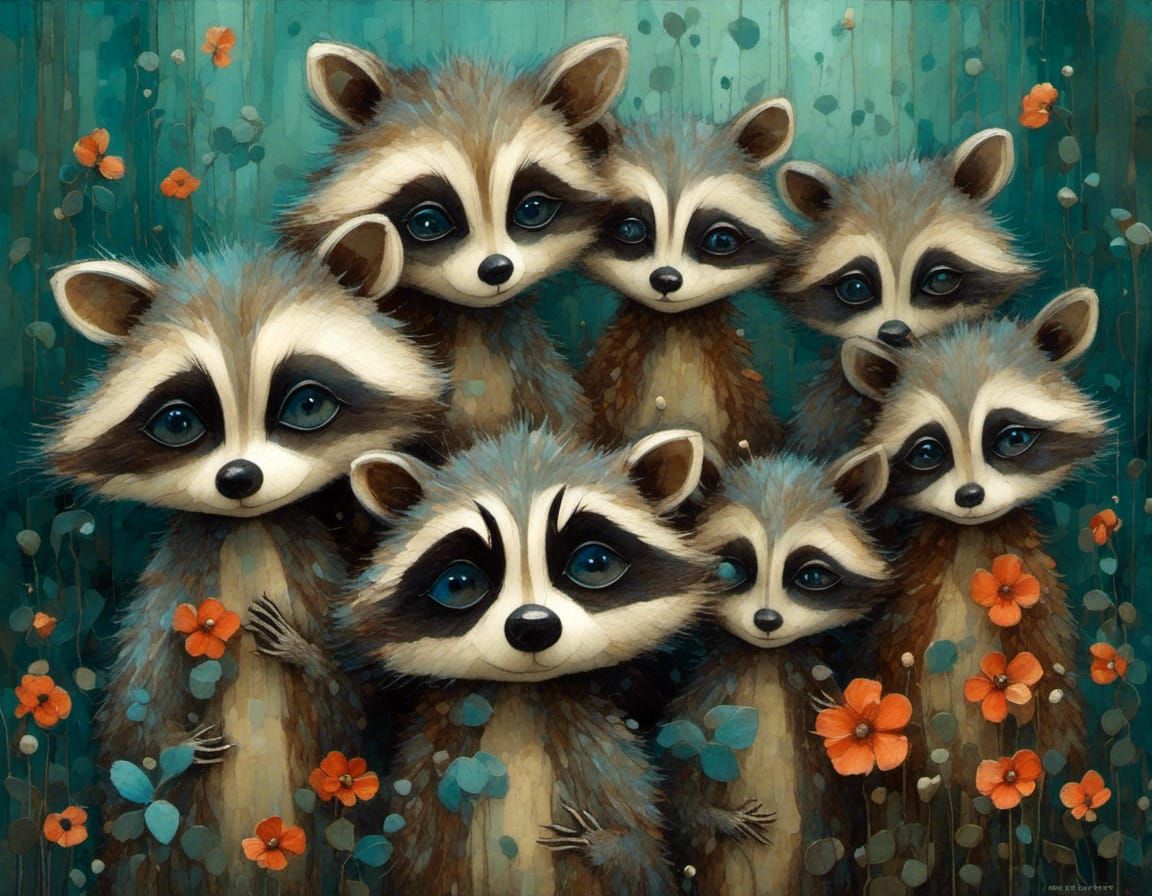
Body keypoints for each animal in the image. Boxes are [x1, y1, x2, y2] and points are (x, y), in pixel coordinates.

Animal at [46, 217, 444, 894]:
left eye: (307, 405)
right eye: (178, 421)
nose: (239, 477)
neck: (249, 529)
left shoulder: (321, 580)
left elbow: (353, 696)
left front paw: (302, 652)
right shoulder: (168, 594)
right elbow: (131, 713)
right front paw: (174, 746)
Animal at [666, 448, 890, 896]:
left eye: (812, 574)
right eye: (730, 569)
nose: (766, 619)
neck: (766, 658)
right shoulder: (708, 698)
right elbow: (678, 775)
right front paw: (720, 818)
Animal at [843, 288, 1106, 808]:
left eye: (1012, 438)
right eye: (928, 451)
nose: (969, 496)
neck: (972, 535)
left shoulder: (1039, 605)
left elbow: (1054, 708)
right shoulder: (903, 620)